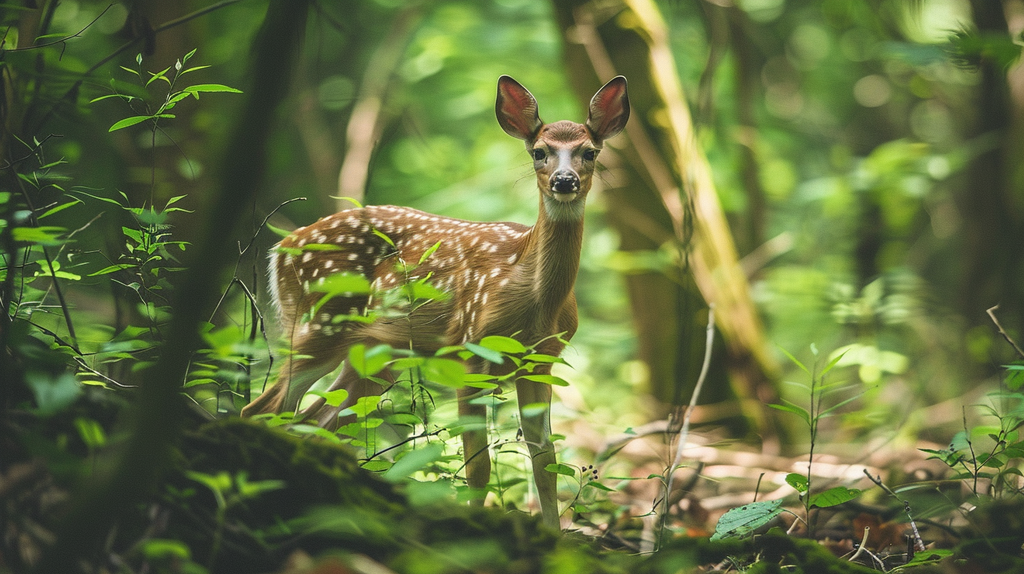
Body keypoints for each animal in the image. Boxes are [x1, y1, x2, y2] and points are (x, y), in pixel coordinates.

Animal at [241, 75, 629, 529]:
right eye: (539, 152)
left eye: (590, 151)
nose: (564, 181)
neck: (532, 296)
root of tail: (281, 247)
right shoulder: (470, 348)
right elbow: (478, 465)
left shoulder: (540, 360)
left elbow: (544, 460)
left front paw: (554, 535)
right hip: (319, 321)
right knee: (263, 409)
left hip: (377, 353)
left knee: (313, 421)